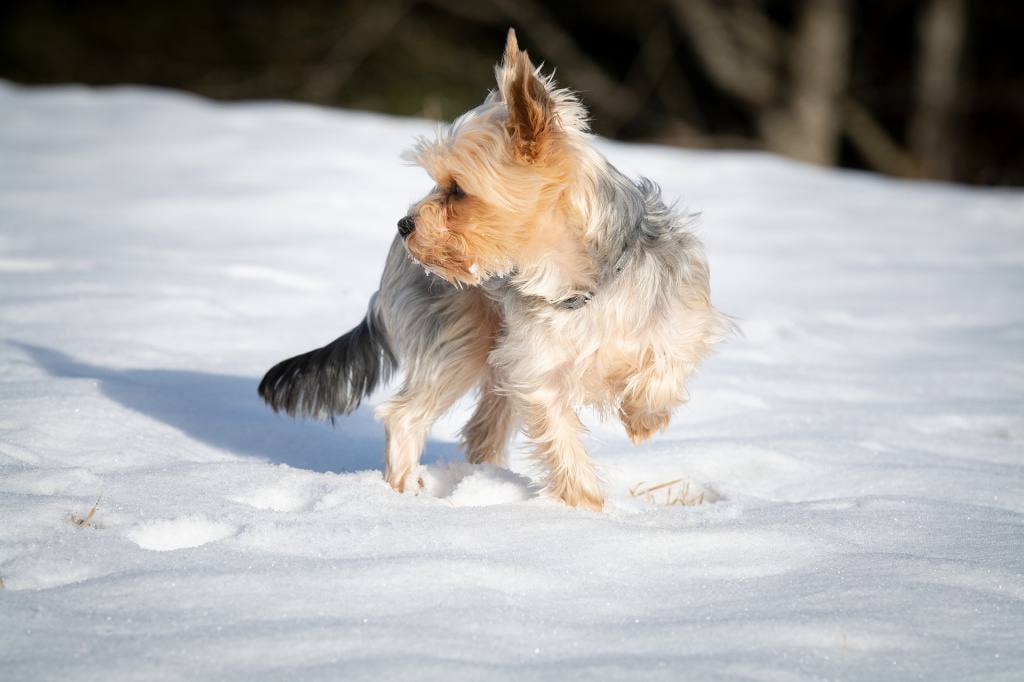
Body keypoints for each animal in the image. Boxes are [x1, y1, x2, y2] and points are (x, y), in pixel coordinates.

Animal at [260, 30, 733, 509]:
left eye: (457, 189)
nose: (404, 225)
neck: (581, 285)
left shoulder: (682, 317)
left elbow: (668, 361)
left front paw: (643, 419)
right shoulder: (537, 372)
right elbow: (561, 439)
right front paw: (586, 508)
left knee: (482, 429)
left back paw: (484, 482)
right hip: (459, 338)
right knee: (405, 416)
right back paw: (406, 495)